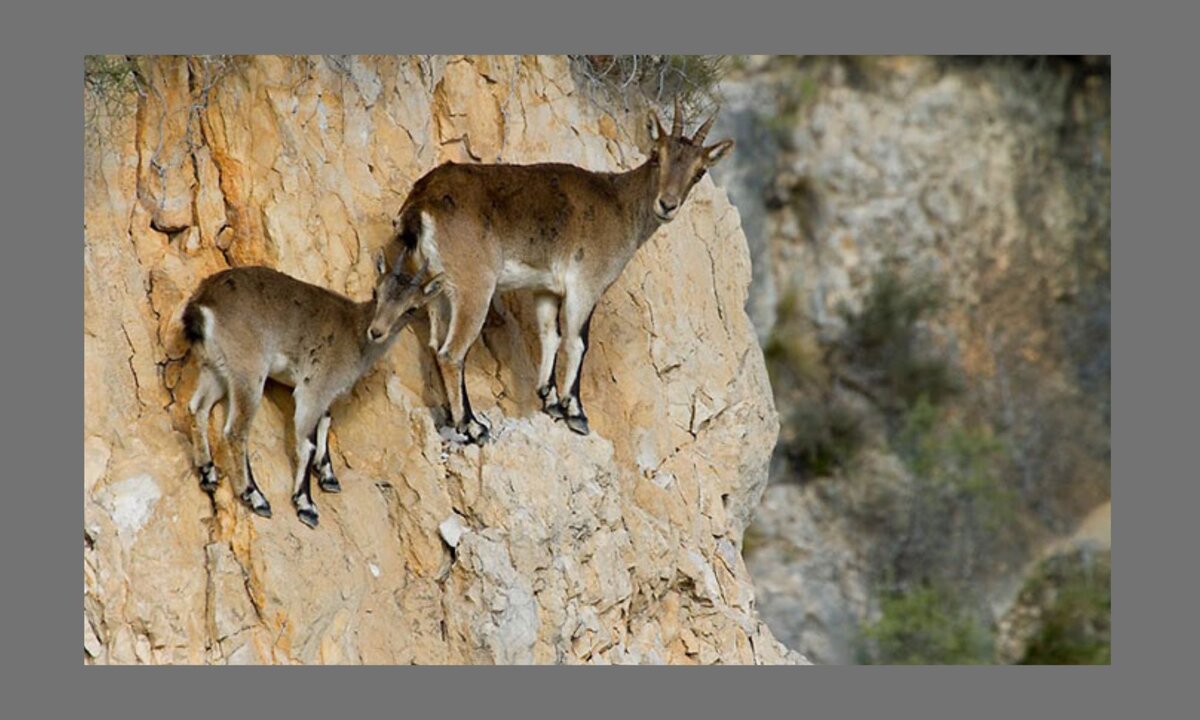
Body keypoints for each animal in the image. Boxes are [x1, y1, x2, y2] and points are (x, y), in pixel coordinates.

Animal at [393, 99, 729, 441]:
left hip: (438, 288)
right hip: (474, 287)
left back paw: (455, 416)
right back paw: (472, 425)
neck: (618, 204)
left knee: (436, 345)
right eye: (656, 155)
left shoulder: (547, 290)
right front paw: (576, 412)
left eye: (699, 171)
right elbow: (577, 341)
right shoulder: (586, 285)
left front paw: (550, 399)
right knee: (452, 352)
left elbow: (550, 336)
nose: (667, 205)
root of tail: (422, 202)